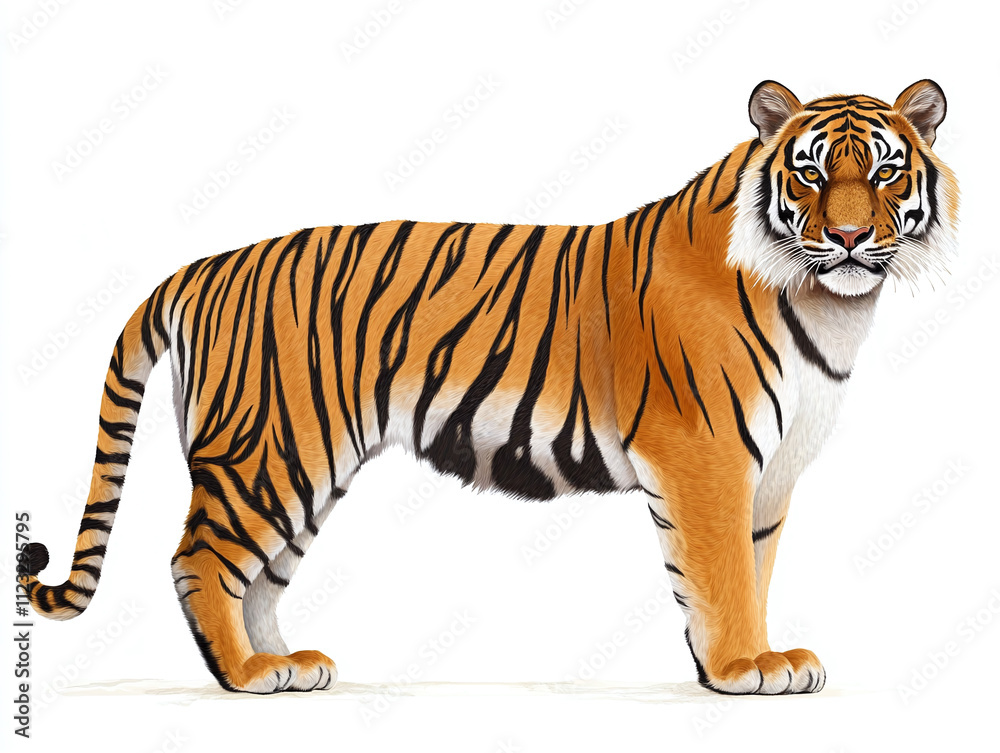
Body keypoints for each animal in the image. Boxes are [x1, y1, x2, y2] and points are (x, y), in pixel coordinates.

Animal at [20, 79, 959, 695]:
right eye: (810, 173)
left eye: (883, 174)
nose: (847, 238)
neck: (830, 306)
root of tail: (200, 268)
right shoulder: (706, 455)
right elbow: (722, 570)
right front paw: (738, 668)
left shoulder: (771, 471)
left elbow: (749, 567)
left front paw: (751, 661)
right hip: (269, 453)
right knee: (199, 559)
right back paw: (249, 675)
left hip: (306, 468)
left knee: (259, 575)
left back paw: (288, 661)